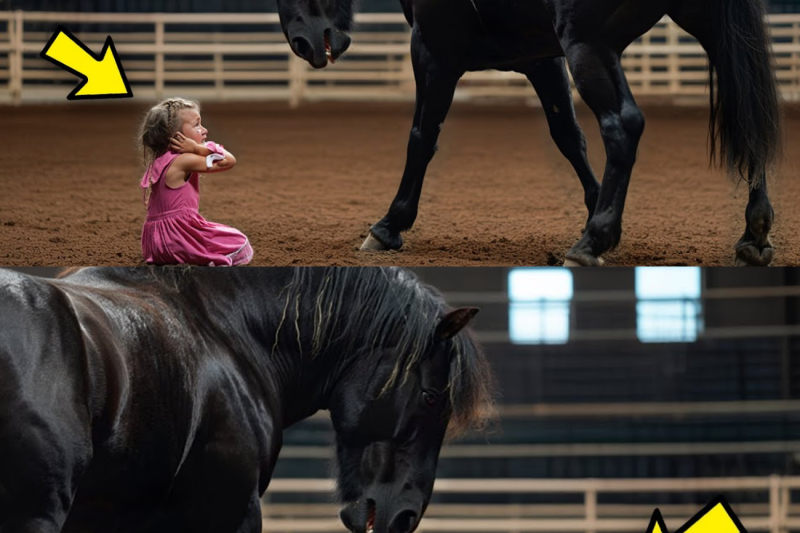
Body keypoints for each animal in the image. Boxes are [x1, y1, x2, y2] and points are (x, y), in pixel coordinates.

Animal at [275, 0, 782, 266]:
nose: (303, 45)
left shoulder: (434, 51)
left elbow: (422, 137)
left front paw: (388, 226)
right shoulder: (542, 60)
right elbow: (568, 137)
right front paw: (593, 207)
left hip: (590, 45)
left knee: (623, 126)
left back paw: (589, 244)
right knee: (750, 109)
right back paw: (754, 234)